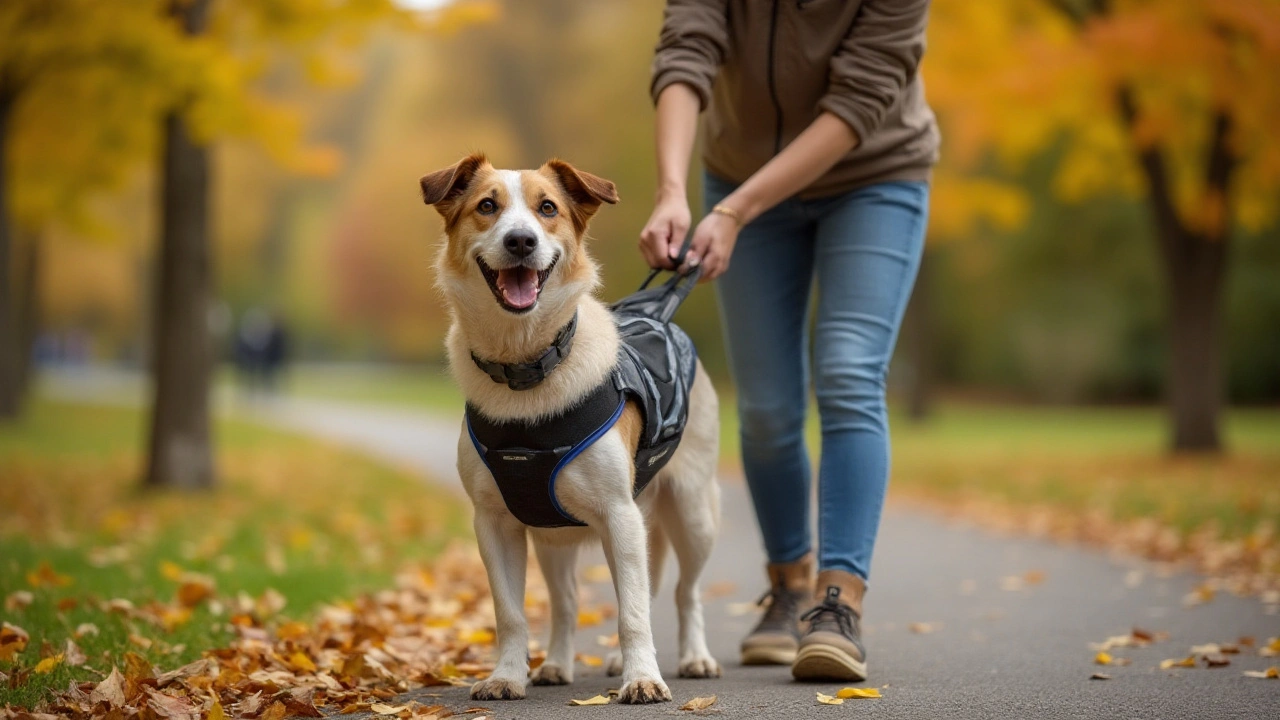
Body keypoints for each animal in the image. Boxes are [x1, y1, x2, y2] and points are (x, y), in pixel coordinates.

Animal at [419, 152, 721, 702]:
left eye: (548, 208)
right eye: (487, 206)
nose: (521, 241)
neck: (527, 369)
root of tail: (659, 314)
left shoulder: (621, 517)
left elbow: (633, 613)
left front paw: (642, 677)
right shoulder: (493, 524)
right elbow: (511, 614)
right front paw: (506, 676)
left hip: (693, 512)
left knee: (684, 591)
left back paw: (694, 657)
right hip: (552, 536)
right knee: (566, 603)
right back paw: (557, 664)